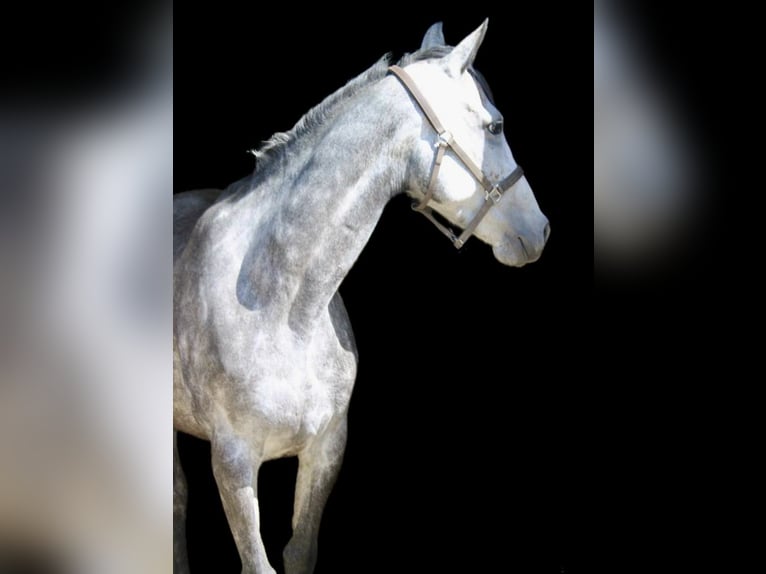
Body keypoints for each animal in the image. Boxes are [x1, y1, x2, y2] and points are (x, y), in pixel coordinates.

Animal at [174, 20, 549, 574]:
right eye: (495, 126)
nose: (540, 230)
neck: (282, 308)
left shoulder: (327, 450)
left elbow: (300, 550)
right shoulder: (233, 461)